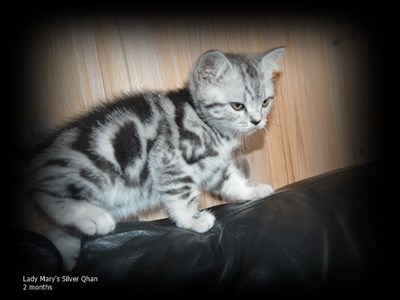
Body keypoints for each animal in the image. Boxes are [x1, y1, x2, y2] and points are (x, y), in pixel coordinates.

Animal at [26, 47, 284, 270]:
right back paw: (94, 218)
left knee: (56, 230)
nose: (257, 121)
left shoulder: (214, 166)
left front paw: (251, 192)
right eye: (237, 106)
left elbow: (232, 182)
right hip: (95, 169)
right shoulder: (170, 161)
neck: (204, 121)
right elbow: (182, 195)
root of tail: (40, 150)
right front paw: (191, 220)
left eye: (265, 102)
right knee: (44, 193)